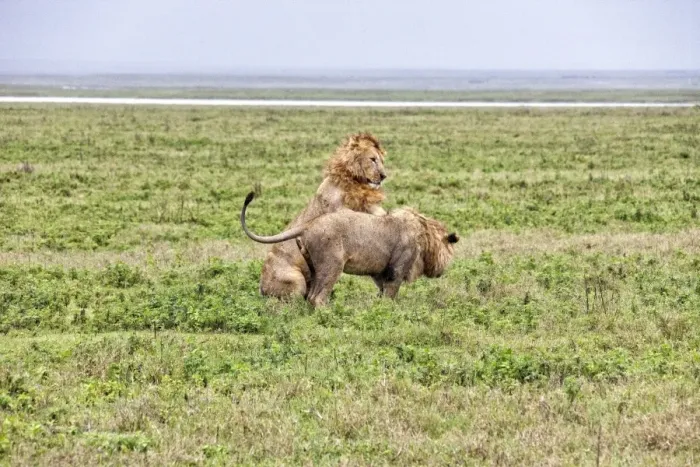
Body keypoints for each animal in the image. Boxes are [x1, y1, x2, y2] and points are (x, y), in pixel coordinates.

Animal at [241, 192, 459, 307]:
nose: (442, 272)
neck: (425, 234)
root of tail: (309, 225)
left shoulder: (379, 272)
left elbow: (381, 294)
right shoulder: (396, 269)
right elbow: (390, 296)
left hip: (314, 269)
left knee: (310, 296)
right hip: (332, 265)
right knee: (316, 297)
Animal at [257, 132, 389, 299]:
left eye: (382, 161)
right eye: (372, 159)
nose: (383, 176)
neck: (354, 182)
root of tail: (261, 287)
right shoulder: (340, 210)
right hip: (296, 280)